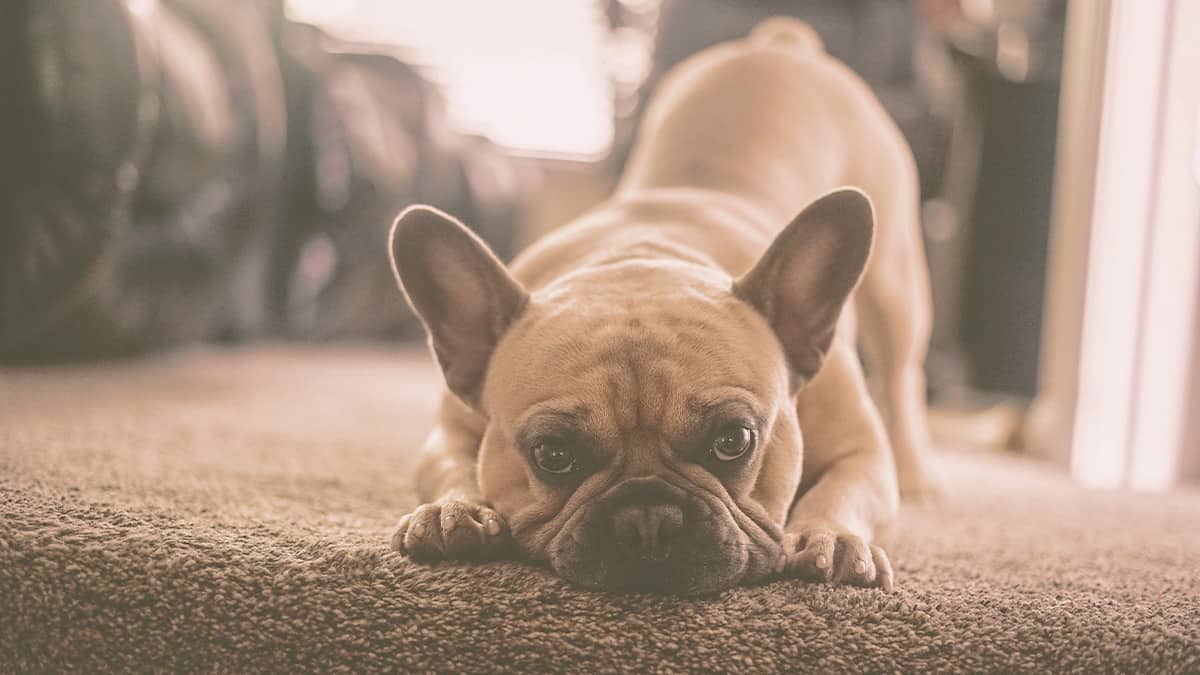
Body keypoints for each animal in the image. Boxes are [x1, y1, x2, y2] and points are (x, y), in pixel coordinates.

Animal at [388, 18, 940, 590]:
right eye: (552, 455)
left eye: (734, 441)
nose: (647, 518)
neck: (645, 254)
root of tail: (780, 44)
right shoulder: (451, 431)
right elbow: (451, 467)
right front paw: (454, 510)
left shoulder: (861, 451)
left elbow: (844, 489)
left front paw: (831, 536)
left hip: (896, 287)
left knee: (903, 375)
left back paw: (918, 474)